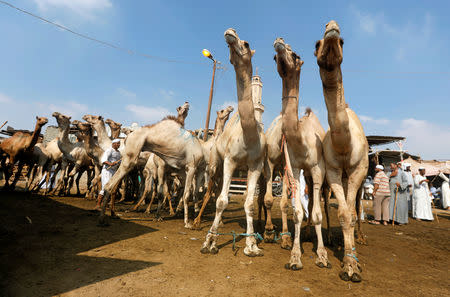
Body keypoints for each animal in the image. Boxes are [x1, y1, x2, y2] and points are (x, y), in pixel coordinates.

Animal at [98, 100, 206, 228]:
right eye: (180, 107)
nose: (187, 102)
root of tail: (127, 137)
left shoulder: (187, 170)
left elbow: (191, 192)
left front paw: (194, 218)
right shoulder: (191, 166)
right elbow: (186, 194)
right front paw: (187, 223)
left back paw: (106, 218)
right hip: (132, 157)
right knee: (110, 184)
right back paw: (104, 218)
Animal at [199, 27, 266, 256]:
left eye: (246, 44)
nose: (230, 32)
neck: (249, 135)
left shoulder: (256, 164)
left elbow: (249, 203)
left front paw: (252, 245)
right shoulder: (230, 160)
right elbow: (222, 201)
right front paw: (209, 242)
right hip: (215, 164)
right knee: (212, 190)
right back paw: (200, 223)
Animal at [270, 36, 330, 268]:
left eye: (295, 55)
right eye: (275, 57)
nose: (279, 41)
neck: (301, 138)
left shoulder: (317, 168)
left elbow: (317, 213)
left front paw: (322, 255)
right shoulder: (295, 167)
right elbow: (297, 212)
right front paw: (295, 256)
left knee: (321, 204)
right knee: (309, 201)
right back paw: (306, 233)